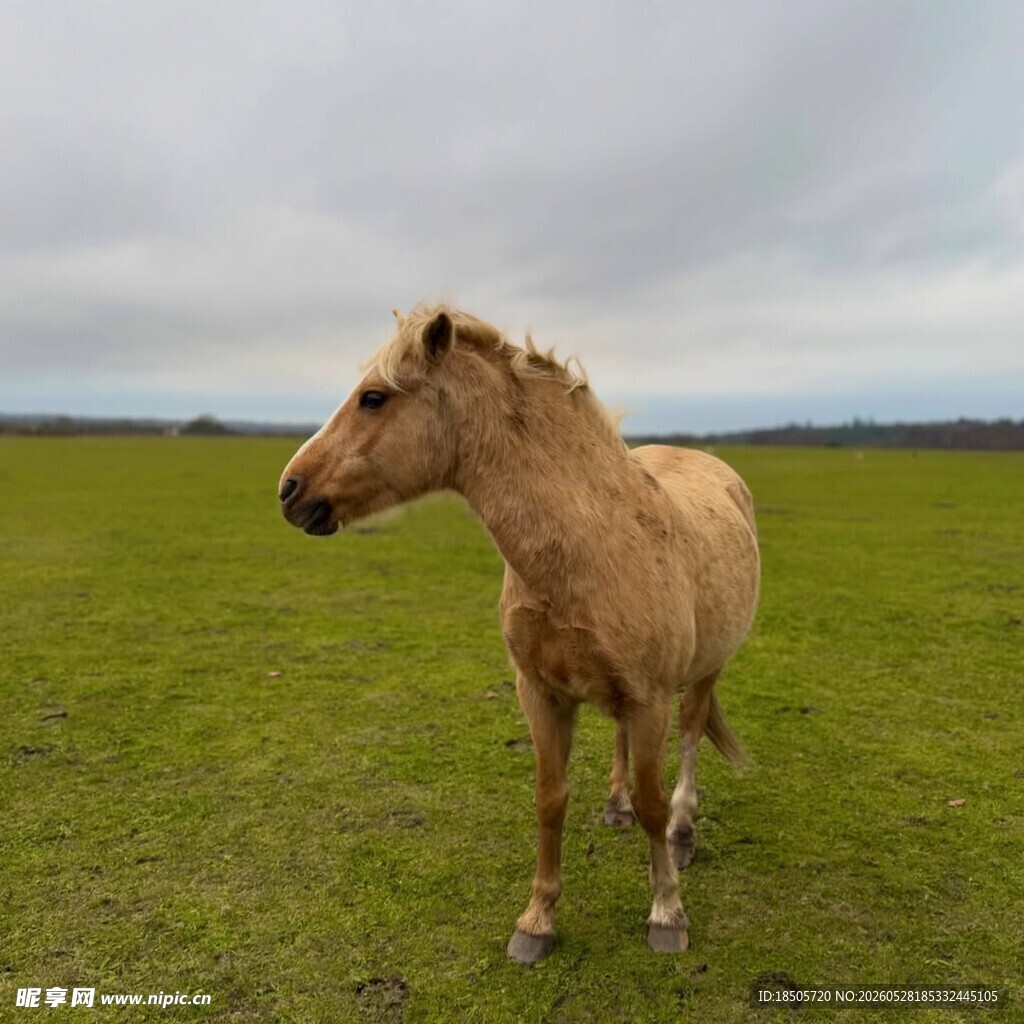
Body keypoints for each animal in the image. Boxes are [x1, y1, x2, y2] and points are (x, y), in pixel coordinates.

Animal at [278, 305, 760, 963]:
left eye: (373, 397)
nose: (289, 489)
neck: (591, 548)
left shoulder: (651, 699)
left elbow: (654, 801)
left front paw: (667, 911)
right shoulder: (541, 692)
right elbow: (550, 799)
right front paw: (537, 921)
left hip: (703, 674)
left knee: (689, 740)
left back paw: (684, 832)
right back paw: (614, 807)